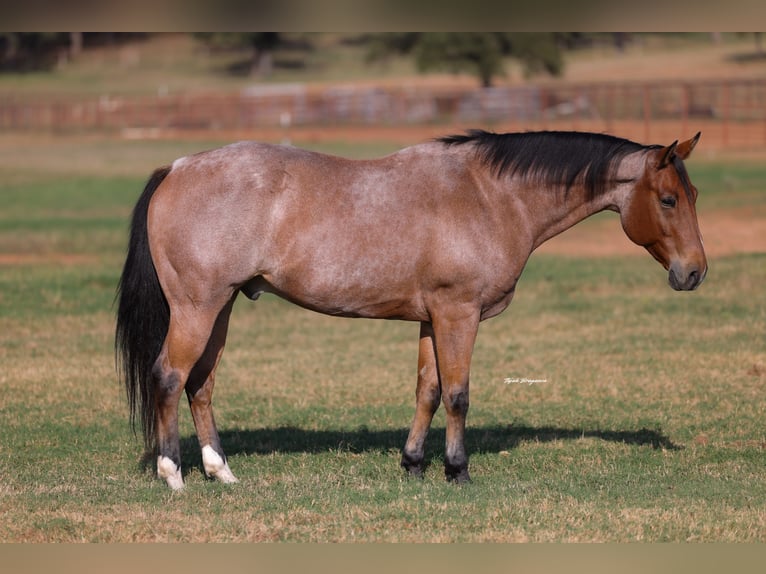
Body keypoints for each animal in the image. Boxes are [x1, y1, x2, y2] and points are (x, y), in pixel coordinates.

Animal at [115, 129, 707, 490]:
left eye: (694, 194)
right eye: (669, 199)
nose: (695, 272)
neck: (489, 196)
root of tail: (177, 168)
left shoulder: (431, 317)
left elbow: (428, 390)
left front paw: (414, 463)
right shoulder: (458, 313)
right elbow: (459, 394)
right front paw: (458, 470)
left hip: (221, 309)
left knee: (201, 384)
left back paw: (220, 471)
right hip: (198, 308)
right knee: (169, 377)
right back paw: (173, 474)